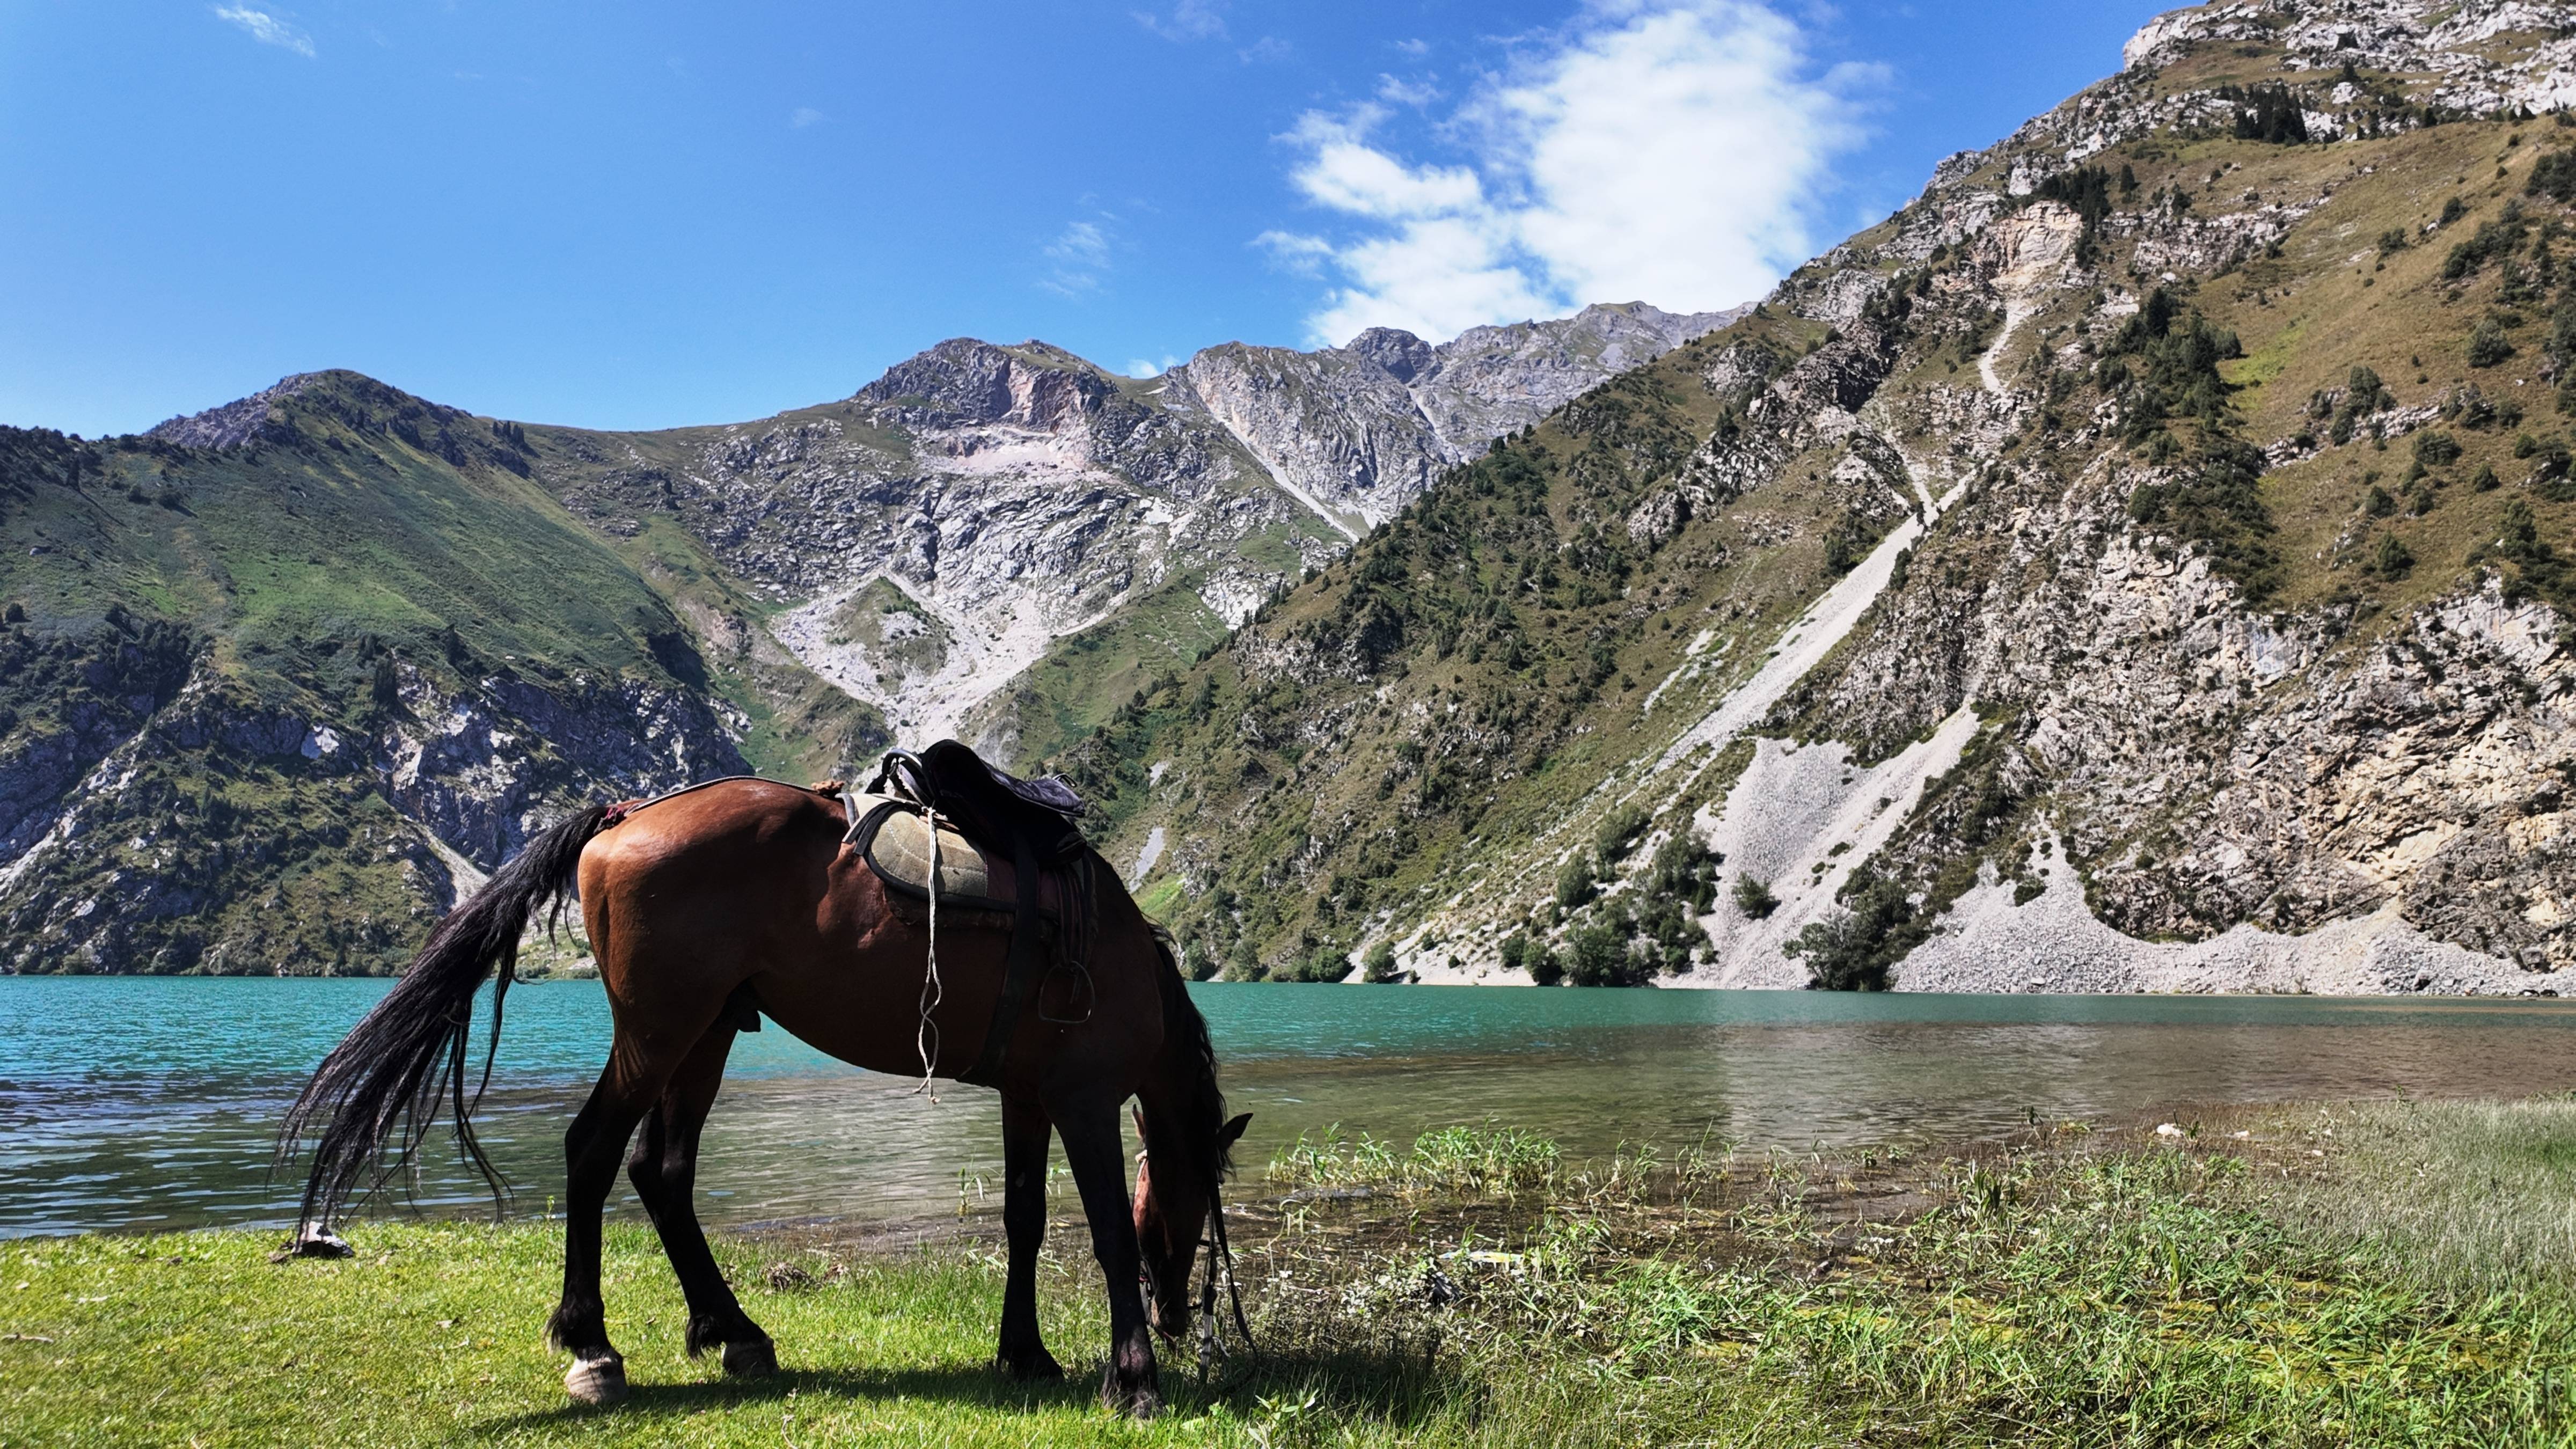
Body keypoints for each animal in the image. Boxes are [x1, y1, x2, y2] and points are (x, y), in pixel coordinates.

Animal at [282, 773, 1247, 1413]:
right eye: (1198, 1204)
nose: (1173, 1321)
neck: (1120, 952)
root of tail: (624, 816)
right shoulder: (1084, 1099)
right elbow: (1110, 1235)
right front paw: (1133, 1379)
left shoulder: (1026, 1097)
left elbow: (1024, 1222)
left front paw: (1026, 1355)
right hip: (659, 1033)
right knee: (594, 1150)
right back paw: (594, 1345)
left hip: (704, 1035)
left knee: (659, 1170)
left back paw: (733, 1332)